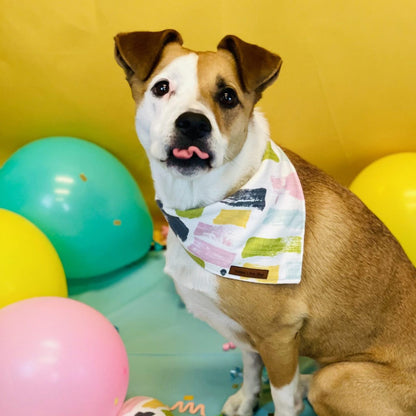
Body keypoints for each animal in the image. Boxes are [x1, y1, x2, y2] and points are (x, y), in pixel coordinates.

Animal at [114, 30, 416, 416]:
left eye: (228, 96)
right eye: (161, 87)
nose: (193, 123)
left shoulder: (278, 337)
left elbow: (283, 397)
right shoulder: (247, 332)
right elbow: (250, 365)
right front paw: (248, 398)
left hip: (336, 378)